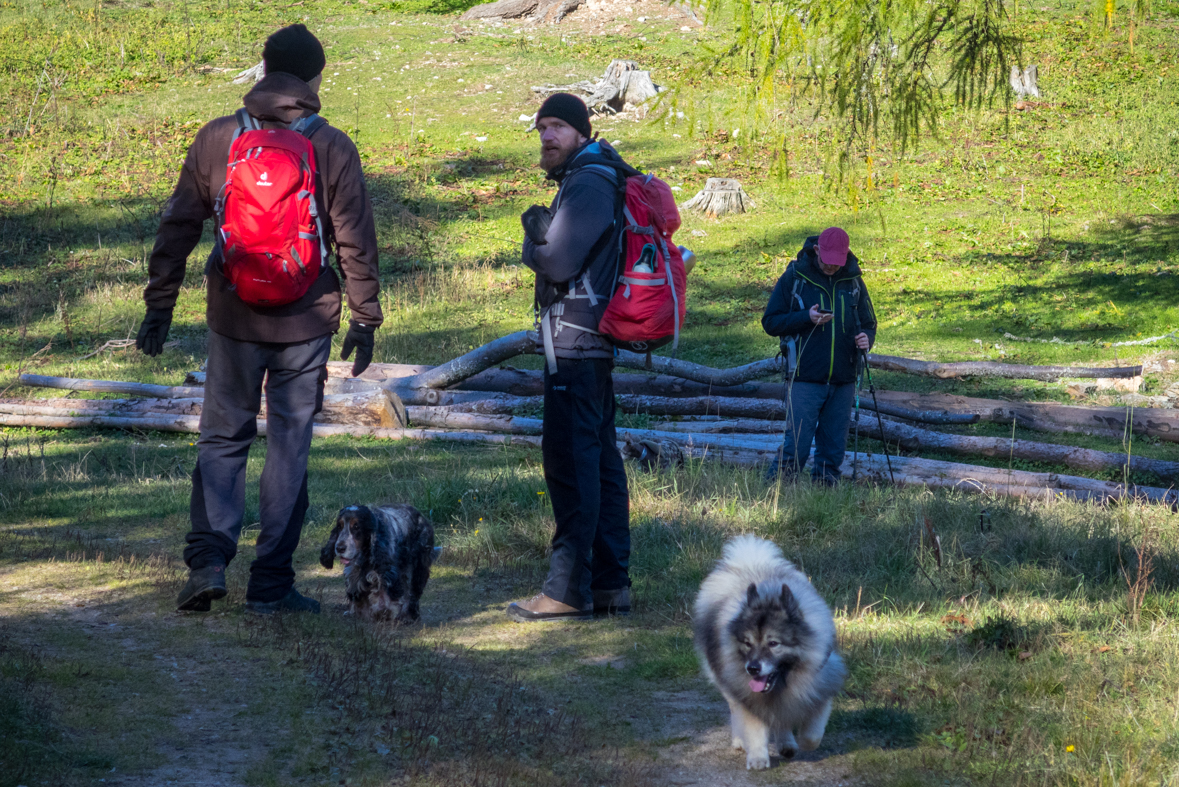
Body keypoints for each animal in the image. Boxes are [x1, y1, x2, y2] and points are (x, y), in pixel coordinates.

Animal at [688, 534, 848, 768]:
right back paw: (740, 741)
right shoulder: (749, 696)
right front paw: (757, 758)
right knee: (735, 710)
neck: (785, 681)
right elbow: (754, 727)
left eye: (773, 643)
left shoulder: (822, 685)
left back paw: (787, 744)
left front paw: (802, 742)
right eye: (747, 643)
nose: (752, 668)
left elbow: (813, 734)